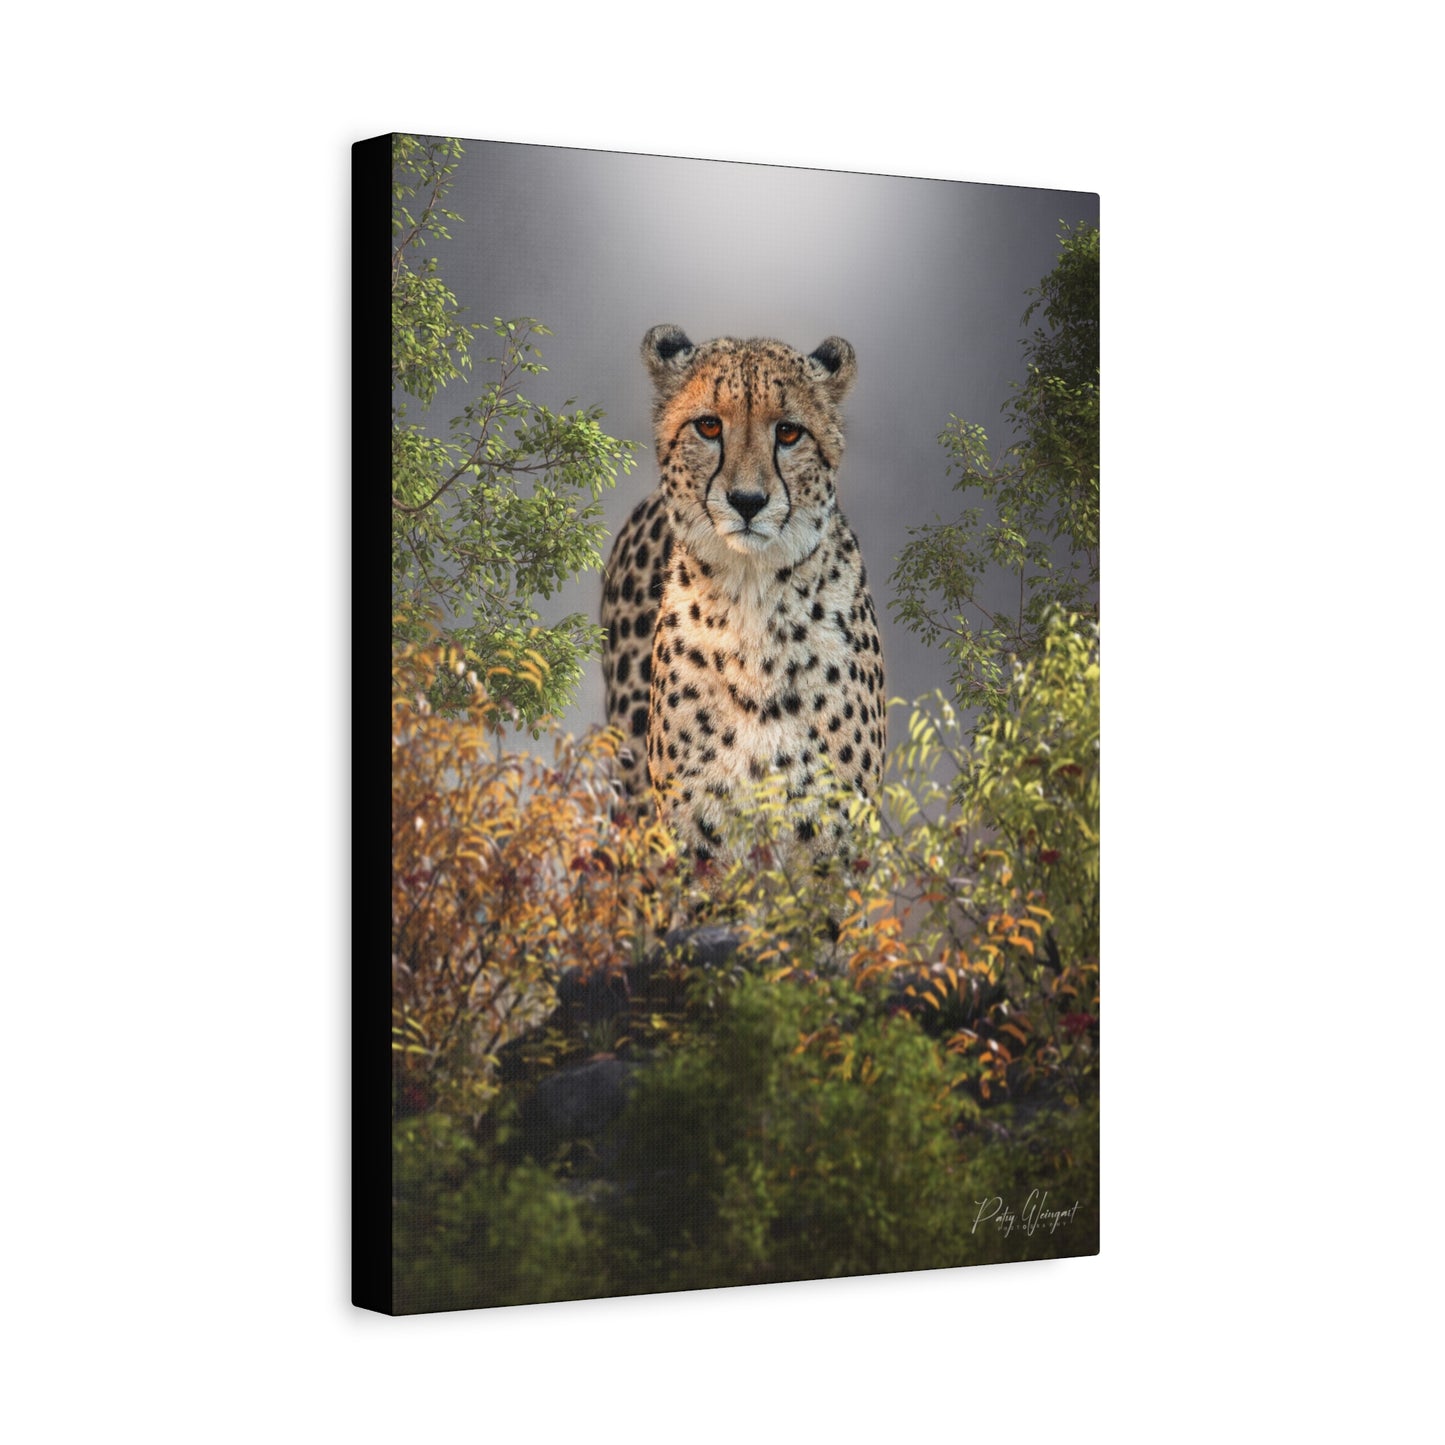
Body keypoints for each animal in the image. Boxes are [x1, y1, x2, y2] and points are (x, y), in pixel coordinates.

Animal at [601, 325, 885, 862]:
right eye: (709, 426)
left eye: (789, 432)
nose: (748, 501)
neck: (753, 601)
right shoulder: (696, 836)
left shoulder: (834, 837)